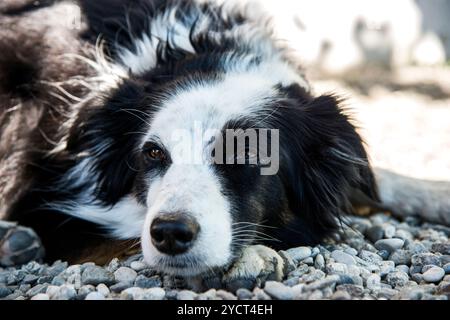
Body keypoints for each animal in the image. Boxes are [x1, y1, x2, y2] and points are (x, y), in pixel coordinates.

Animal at [1, 0, 446, 280]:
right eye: (153, 153)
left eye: (247, 156)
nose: (170, 233)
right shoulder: (50, 199)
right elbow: (124, 237)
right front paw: (254, 258)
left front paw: (435, 192)